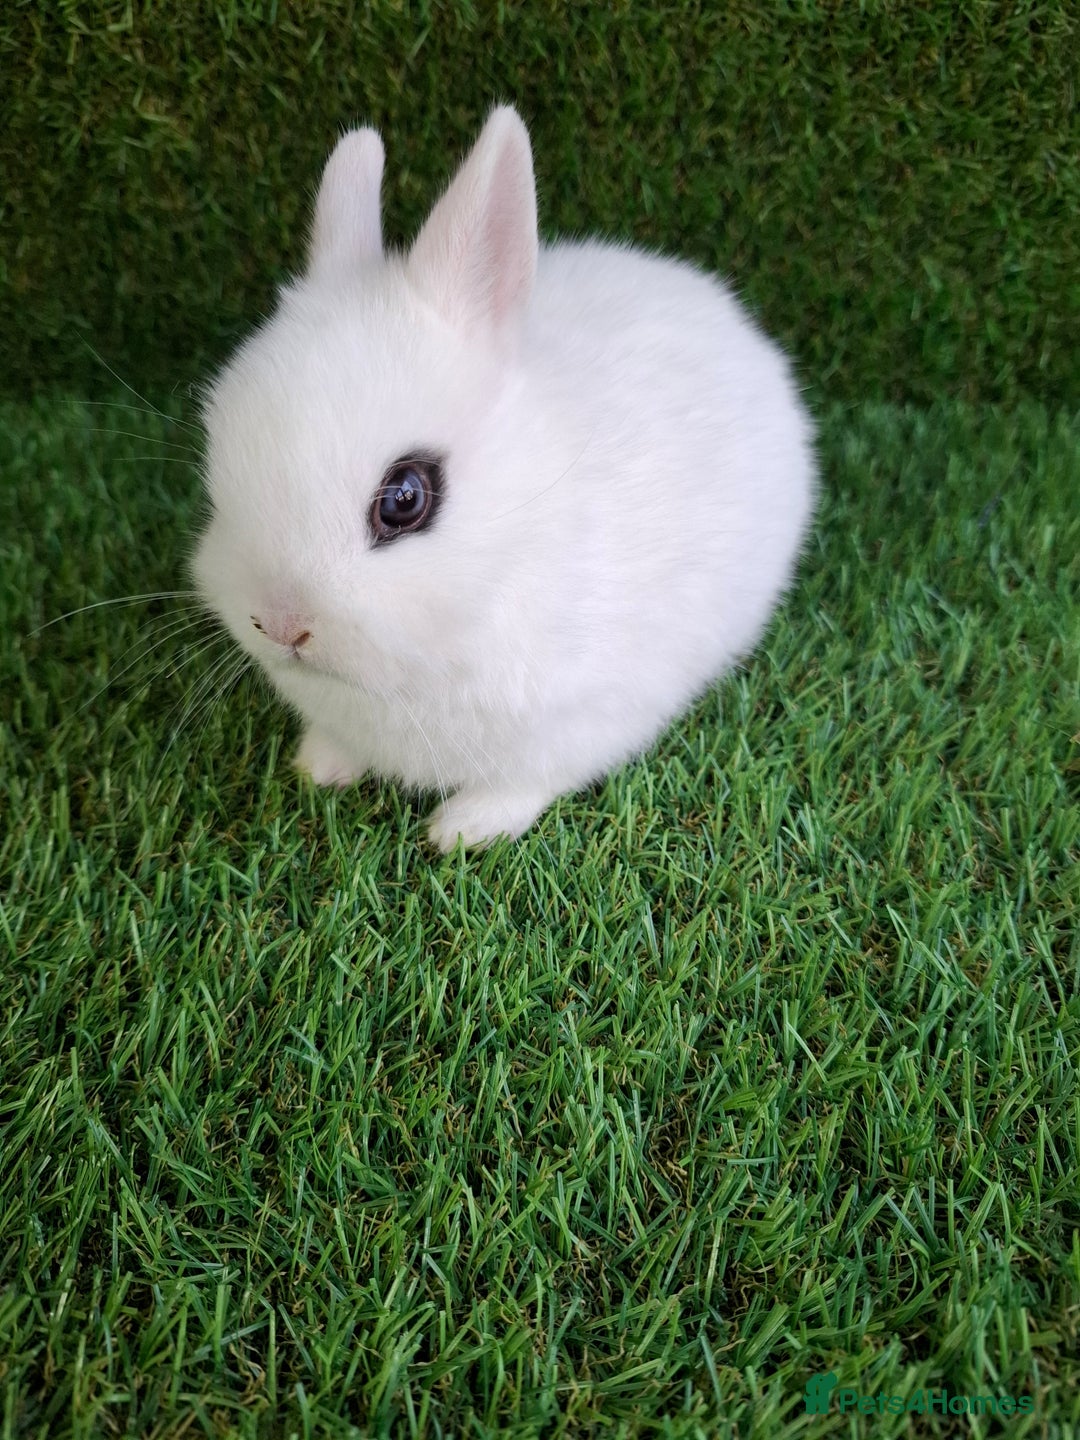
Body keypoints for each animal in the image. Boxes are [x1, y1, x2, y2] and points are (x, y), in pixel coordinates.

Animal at [192, 105, 816, 851]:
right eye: (220, 472)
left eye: (405, 499)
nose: (280, 625)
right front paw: (322, 766)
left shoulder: (583, 720)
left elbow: (527, 782)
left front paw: (461, 831)